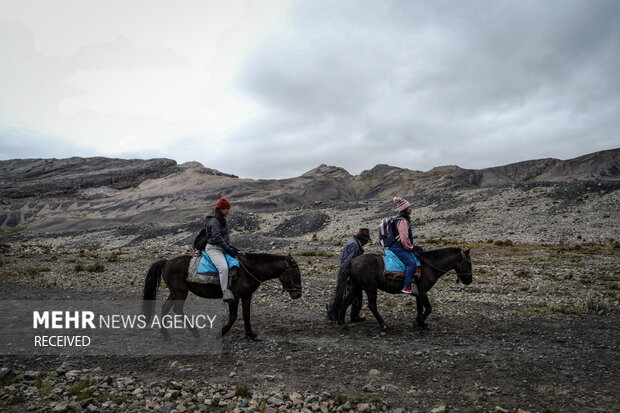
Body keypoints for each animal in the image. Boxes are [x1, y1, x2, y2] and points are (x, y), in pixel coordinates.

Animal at [143, 253, 302, 340]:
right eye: (294, 272)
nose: (298, 294)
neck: (248, 271)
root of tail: (166, 262)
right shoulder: (234, 297)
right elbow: (233, 317)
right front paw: (221, 333)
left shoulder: (247, 296)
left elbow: (246, 315)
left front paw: (250, 335)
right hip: (181, 292)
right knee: (177, 310)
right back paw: (195, 332)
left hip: (174, 292)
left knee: (165, 308)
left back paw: (166, 334)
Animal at [326, 246, 472, 330]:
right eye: (469, 262)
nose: (469, 280)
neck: (429, 266)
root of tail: (353, 260)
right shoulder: (423, 291)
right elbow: (429, 308)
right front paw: (418, 321)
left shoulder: (418, 293)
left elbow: (420, 308)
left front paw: (420, 323)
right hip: (370, 288)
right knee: (372, 305)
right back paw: (383, 324)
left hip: (357, 287)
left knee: (346, 301)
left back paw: (341, 322)